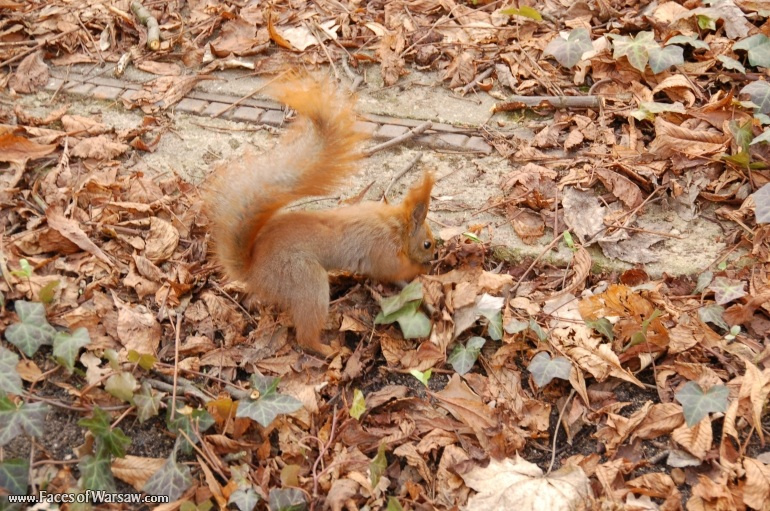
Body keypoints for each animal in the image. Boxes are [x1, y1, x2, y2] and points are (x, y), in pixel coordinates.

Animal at [204, 76, 436, 357]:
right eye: (427, 244)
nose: (435, 256)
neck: (394, 226)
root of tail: (253, 270)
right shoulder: (383, 251)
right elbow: (393, 270)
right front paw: (421, 269)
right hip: (305, 280)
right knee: (305, 336)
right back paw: (330, 349)